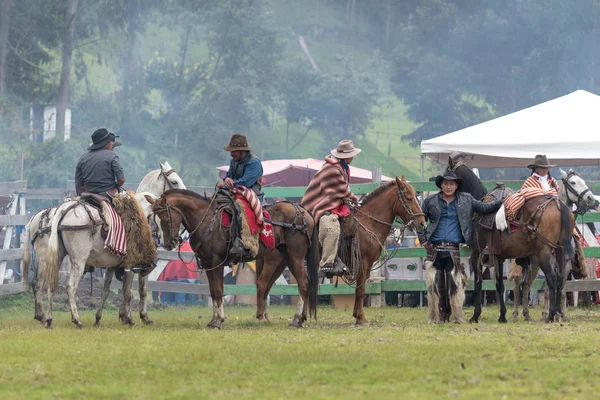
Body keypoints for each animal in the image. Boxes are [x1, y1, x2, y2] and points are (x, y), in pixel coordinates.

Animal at [23, 162, 184, 328]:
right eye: (174, 181)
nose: (174, 240)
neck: (142, 213)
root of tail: (61, 211)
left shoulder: (112, 266)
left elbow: (106, 290)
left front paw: (102, 317)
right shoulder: (133, 264)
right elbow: (134, 291)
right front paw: (135, 317)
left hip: (50, 259)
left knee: (43, 284)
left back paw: (46, 318)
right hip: (78, 261)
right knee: (70, 286)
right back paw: (76, 319)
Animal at [146, 190, 318, 328]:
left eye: (165, 219)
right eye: (154, 220)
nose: (169, 244)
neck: (207, 221)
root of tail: (303, 211)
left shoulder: (216, 263)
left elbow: (218, 290)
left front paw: (218, 321)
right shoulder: (208, 264)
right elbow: (213, 291)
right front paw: (214, 319)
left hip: (295, 257)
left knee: (302, 283)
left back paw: (296, 319)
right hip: (285, 258)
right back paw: (300, 317)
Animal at [338, 178, 426, 324]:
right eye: (409, 198)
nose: (422, 223)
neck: (369, 223)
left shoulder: (367, 265)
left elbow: (360, 287)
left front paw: (357, 315)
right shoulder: (363, 262)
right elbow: (361, 289)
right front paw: (361, 317)